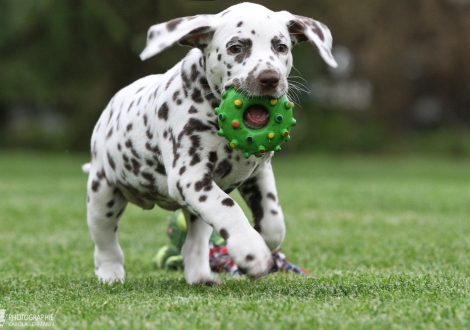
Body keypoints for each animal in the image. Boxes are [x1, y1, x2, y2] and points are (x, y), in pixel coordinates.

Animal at [82, 1, 336, 284]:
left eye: (281, 47)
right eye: (236, 47)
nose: (269, 78)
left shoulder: (257, 173)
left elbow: (274, 222)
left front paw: (263, 242)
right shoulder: (189, 177)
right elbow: (230, 209)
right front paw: (251, 251)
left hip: (195, 211)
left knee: (193, 243)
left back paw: (201, 276)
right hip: (103, 194)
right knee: (105, 240)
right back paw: (110, 273)